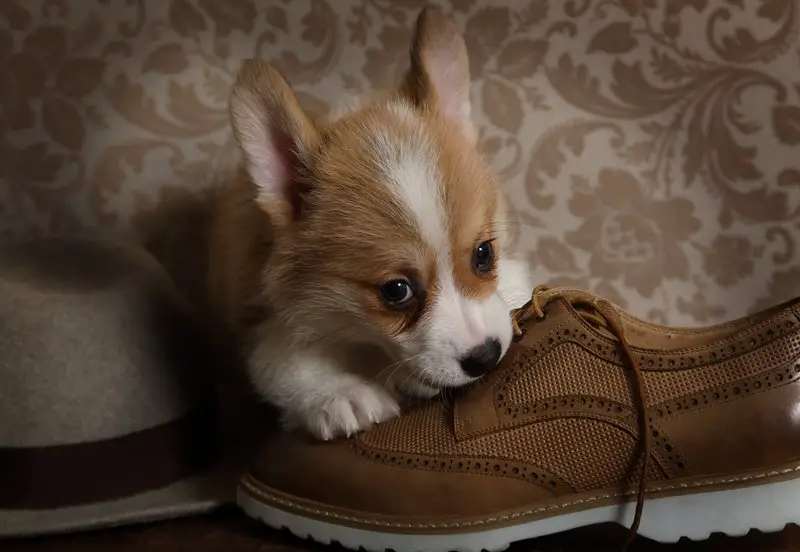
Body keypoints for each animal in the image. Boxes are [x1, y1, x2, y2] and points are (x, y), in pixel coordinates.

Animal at [208, 4, 532, 440]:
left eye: (483, 254)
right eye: (395, 291)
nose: (485, 356)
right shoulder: (265, 322)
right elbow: (289, 363)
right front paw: (340, 395)